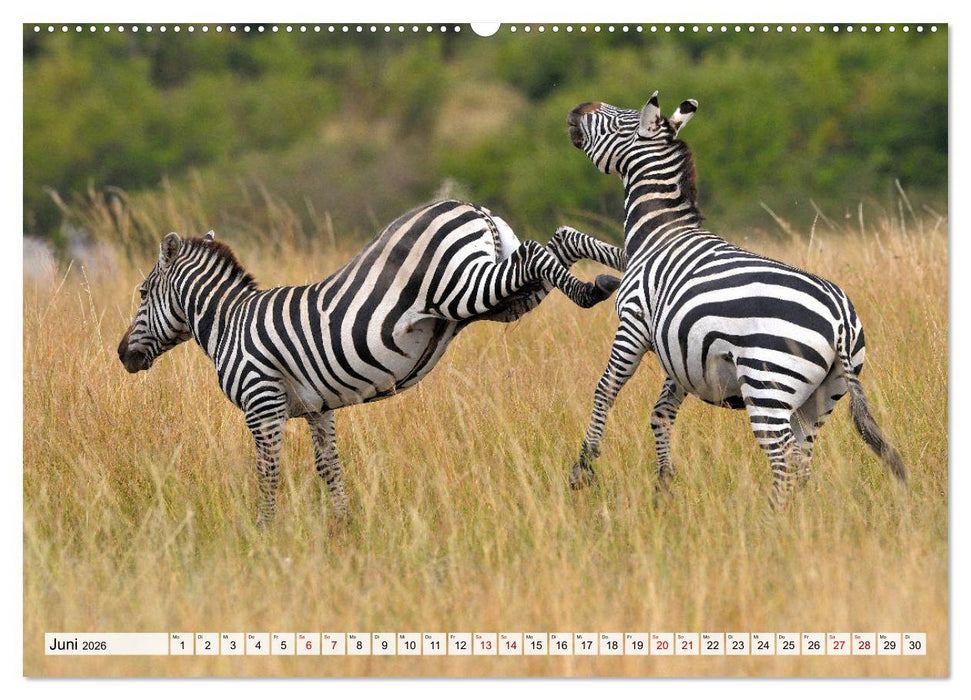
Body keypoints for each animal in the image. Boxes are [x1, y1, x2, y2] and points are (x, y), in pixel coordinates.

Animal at [117, 199, 620, 526]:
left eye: (141, 292)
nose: (122, 355)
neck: (228, 321)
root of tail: (471, 206)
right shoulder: (316, 408)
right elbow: (328, 468)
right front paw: (345, 527)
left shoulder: (262, 404)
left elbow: (268, 470)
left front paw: (265, 531)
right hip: (506, 299)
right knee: (556, 242)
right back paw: (609, 271)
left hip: (464, 285)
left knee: (539, 250)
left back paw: (595, 285)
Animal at [560, 93, 906, 508]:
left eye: (619, 119)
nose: (578, 107)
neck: (660, 231)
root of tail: (840, 319)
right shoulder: (683, 350)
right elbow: (661, 412)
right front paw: (664, 484)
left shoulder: (634, 323)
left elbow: (606, 389)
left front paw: (584, 468)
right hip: (823, 395)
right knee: (801, 457)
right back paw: (799, 515)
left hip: (767, 383)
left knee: (785, 456)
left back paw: (771, 517)